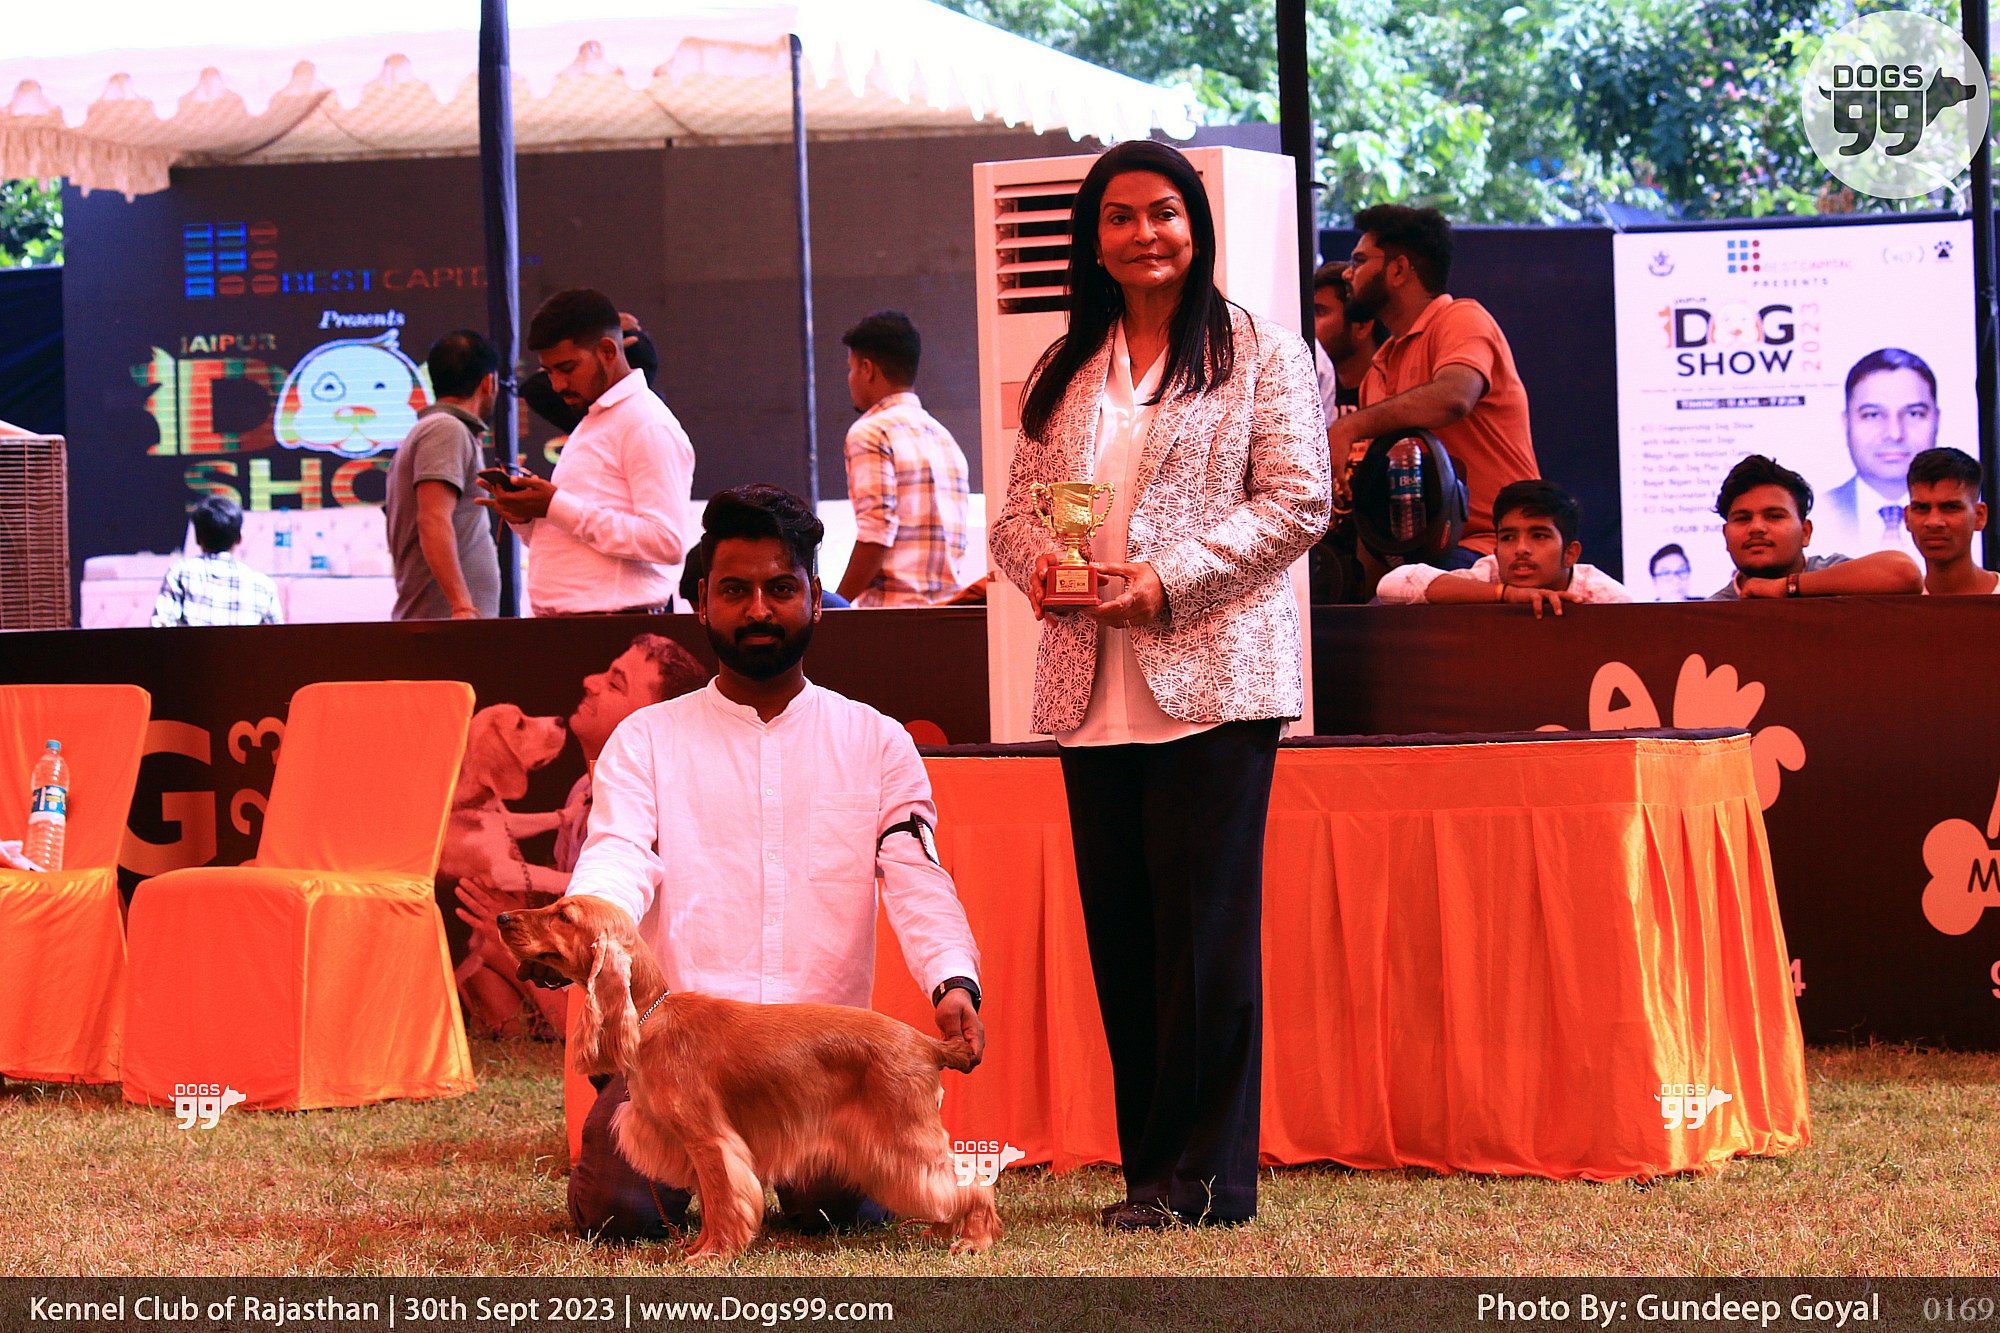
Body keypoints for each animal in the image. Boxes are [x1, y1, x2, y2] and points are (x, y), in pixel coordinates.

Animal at [497, 894, 1001, 1262]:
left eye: (563, 915)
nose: (502, 917)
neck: (651, 1018)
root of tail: (927, 1043)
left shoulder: (711, 1140)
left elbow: (724, 1201)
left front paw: (712, 1255)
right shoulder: (692, 1145)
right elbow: (711, 1206)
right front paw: (700, 1247)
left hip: (903, 1138)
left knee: (970, 1181)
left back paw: (972, 1239)